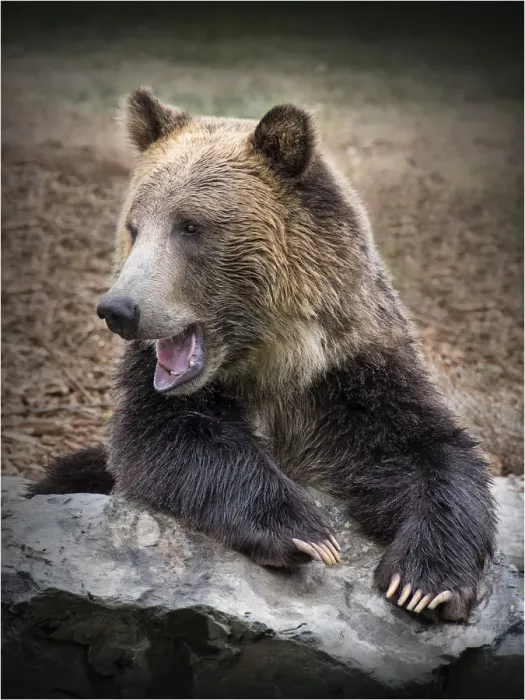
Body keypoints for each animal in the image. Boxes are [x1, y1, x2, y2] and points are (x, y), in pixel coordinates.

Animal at [30, 87, 496, 621]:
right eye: (134, 227)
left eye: (190, 226)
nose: (119, 309)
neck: (273, 361)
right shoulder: (161, 387)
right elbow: (165, 436)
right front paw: (304, 531)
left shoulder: (352, 377)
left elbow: (428, 450)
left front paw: (425, 581)